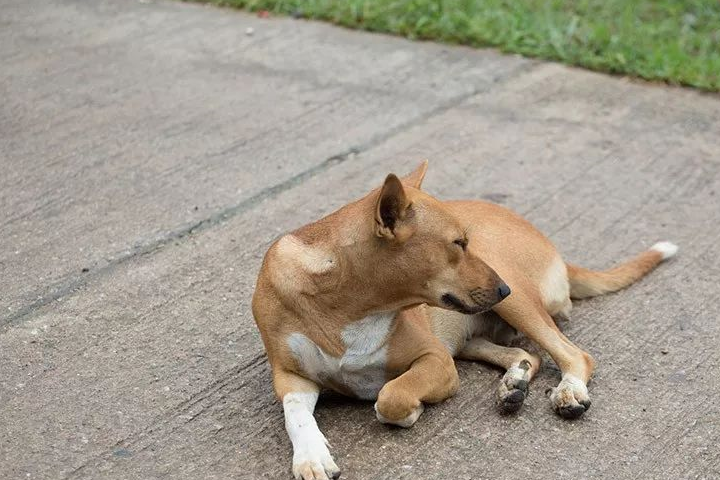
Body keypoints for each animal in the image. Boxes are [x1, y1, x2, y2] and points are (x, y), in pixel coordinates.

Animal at [250, 162, 676, 480]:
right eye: (457, 244)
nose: (502, 288)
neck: (346, 302)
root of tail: (552, 246)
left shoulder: (435, 360)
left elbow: (391, 396)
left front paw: (409, 410)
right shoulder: (291, 376)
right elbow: (295, 414)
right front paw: (311, 457)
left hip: (516, 300)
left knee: (574, 354)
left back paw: (569, 390)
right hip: (474, 327)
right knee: (528, 355)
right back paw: (514, 383)